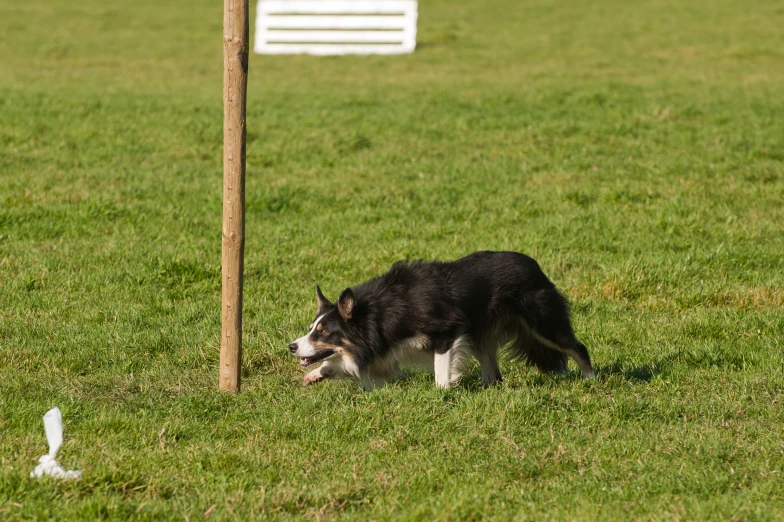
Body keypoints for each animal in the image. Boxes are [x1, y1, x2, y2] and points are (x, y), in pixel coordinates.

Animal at [288, 250, 596, 388]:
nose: (291, 346)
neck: (380, 313)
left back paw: (590, 378)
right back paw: (487, 387)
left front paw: (446, 390)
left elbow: (440, 373)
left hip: (543, 320)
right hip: (482, 332)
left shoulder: (446, 331)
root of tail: (534, 265)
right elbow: (336, 364)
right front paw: (315, 374)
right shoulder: (382, 348)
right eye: (312, 328)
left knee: (577, 347)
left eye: (324, 332)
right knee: (492, 368)